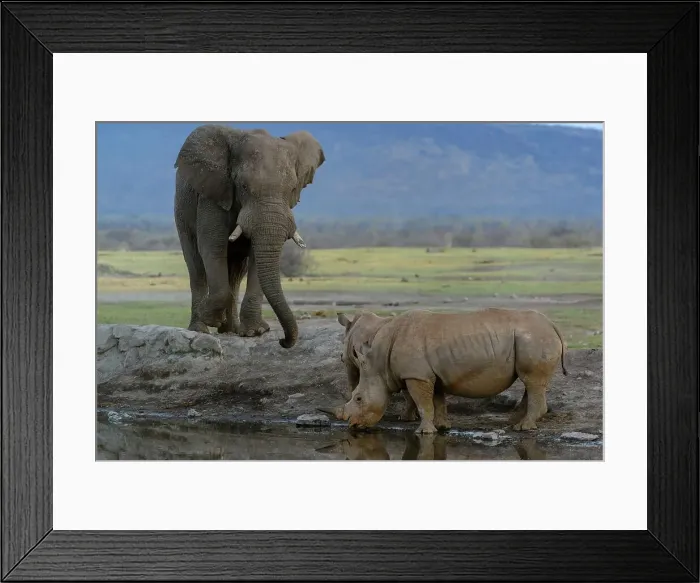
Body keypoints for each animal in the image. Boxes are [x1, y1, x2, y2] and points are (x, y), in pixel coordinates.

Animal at [173, 124, 325, 348]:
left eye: (292, 189)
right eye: (243, 186)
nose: (282, 340)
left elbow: (256, 256)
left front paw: (254, 332)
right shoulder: (215, 192)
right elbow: (212, 247)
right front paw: (210, 318)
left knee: (236, 272)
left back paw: (230, 329)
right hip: (182, 214)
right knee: (196, 266)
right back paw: (200, 328)